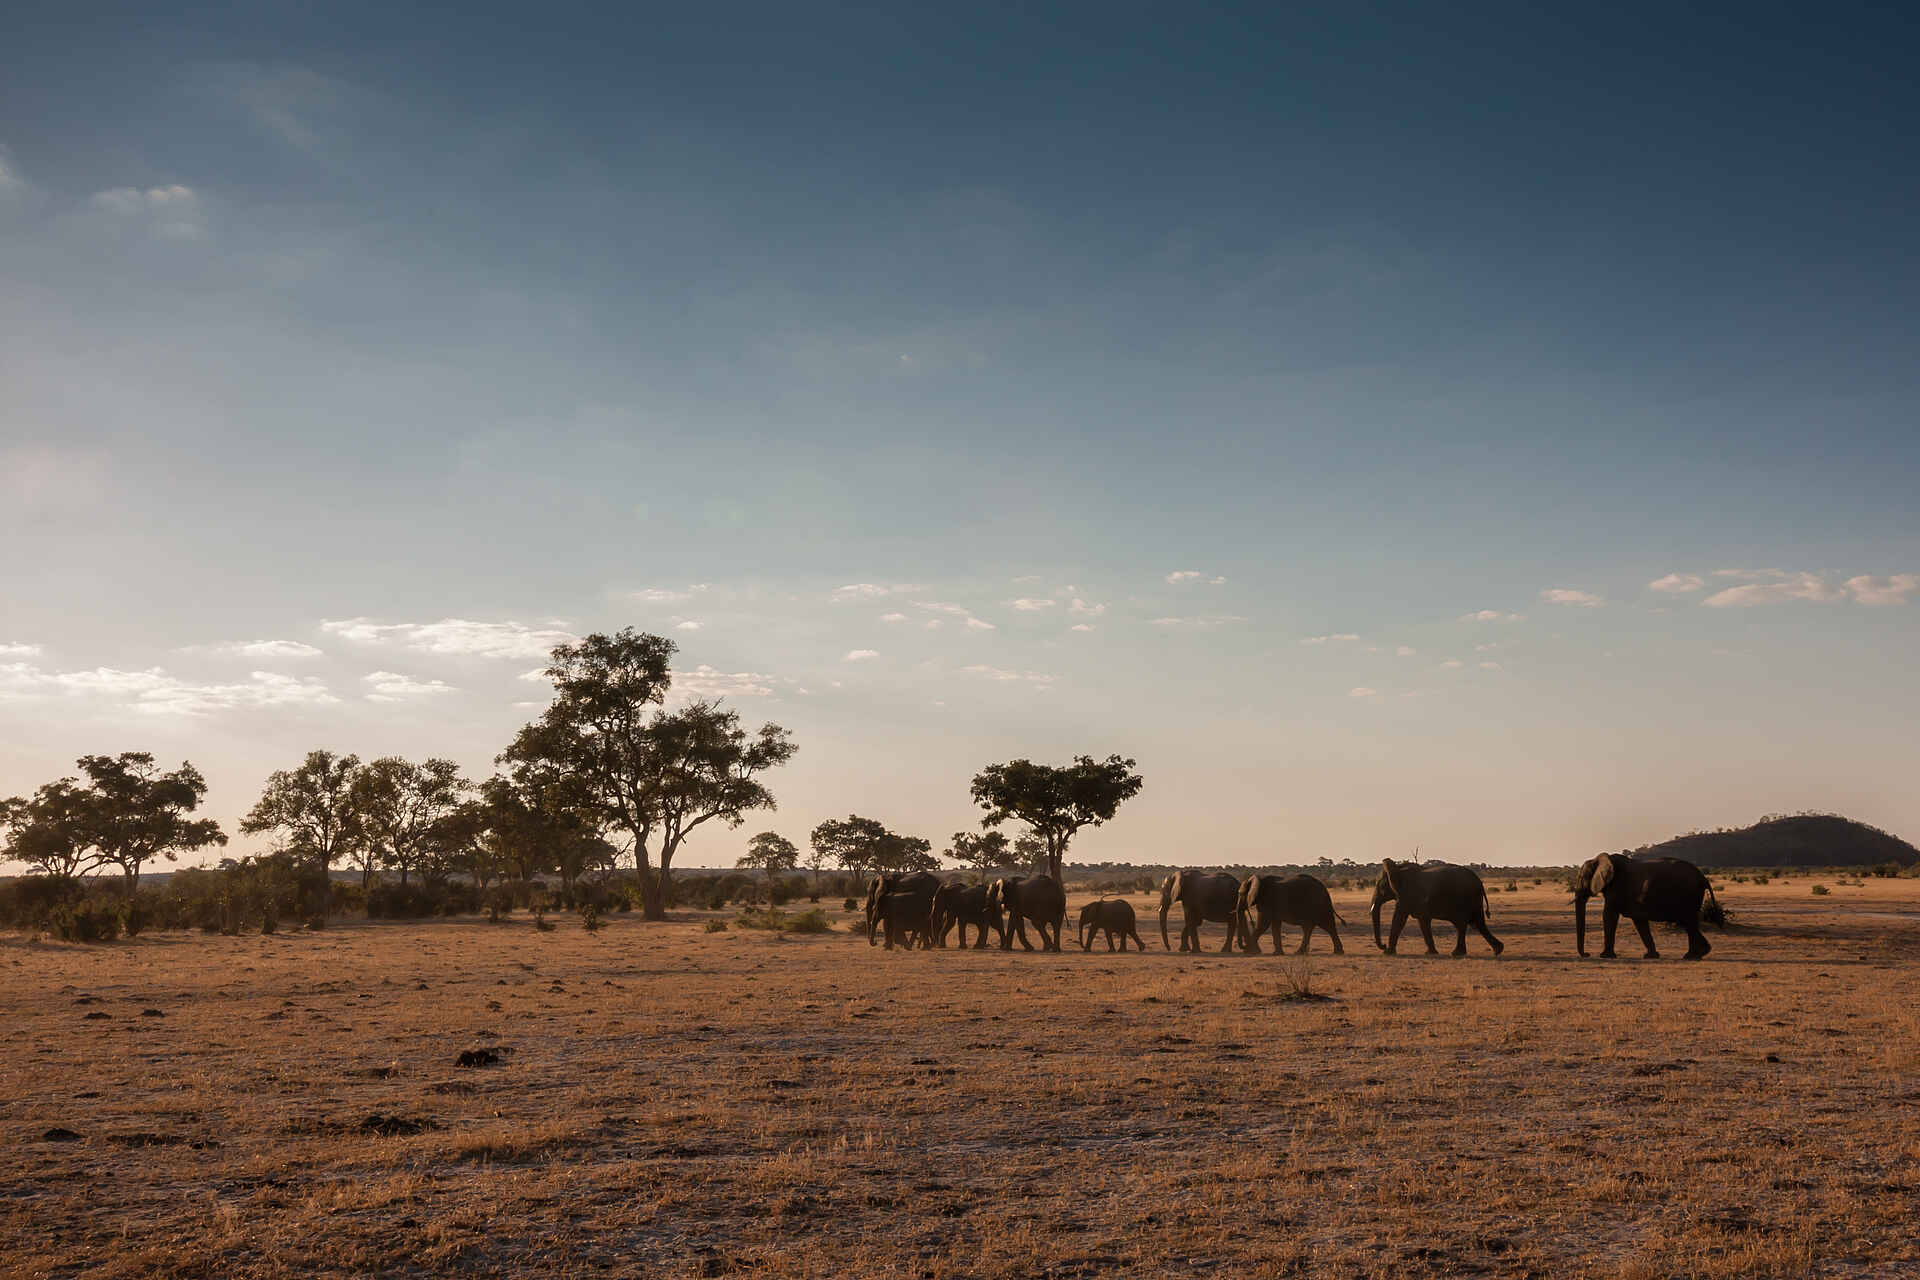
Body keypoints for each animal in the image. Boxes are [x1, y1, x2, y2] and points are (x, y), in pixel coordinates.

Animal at [1371, 859, 1503, 957]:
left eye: (1380, 886)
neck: (1398, 868)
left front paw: (1387, 953)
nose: (1383, 945)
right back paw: (1498, 950)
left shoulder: (1406, 895)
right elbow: (1423, 922)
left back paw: (1457, 954)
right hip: (1474, 899)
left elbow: (1399, 919)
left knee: (1463, 924)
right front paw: (1430, 953)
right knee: (1478, 923)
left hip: (1464, 899)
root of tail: (1479, 882)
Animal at [1573, 852, 1719, 960]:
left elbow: (1609, 915)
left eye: (1581, 878)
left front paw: (1605, 956)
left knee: (1688, 921)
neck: (1598, 859)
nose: (1587, 954)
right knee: (1688, 923)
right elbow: (1639, 920)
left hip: (1689, 893)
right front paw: (1650, 956)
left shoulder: (1616, 886)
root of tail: (1703, 877)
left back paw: (1694, 955)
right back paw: (1697, 954)